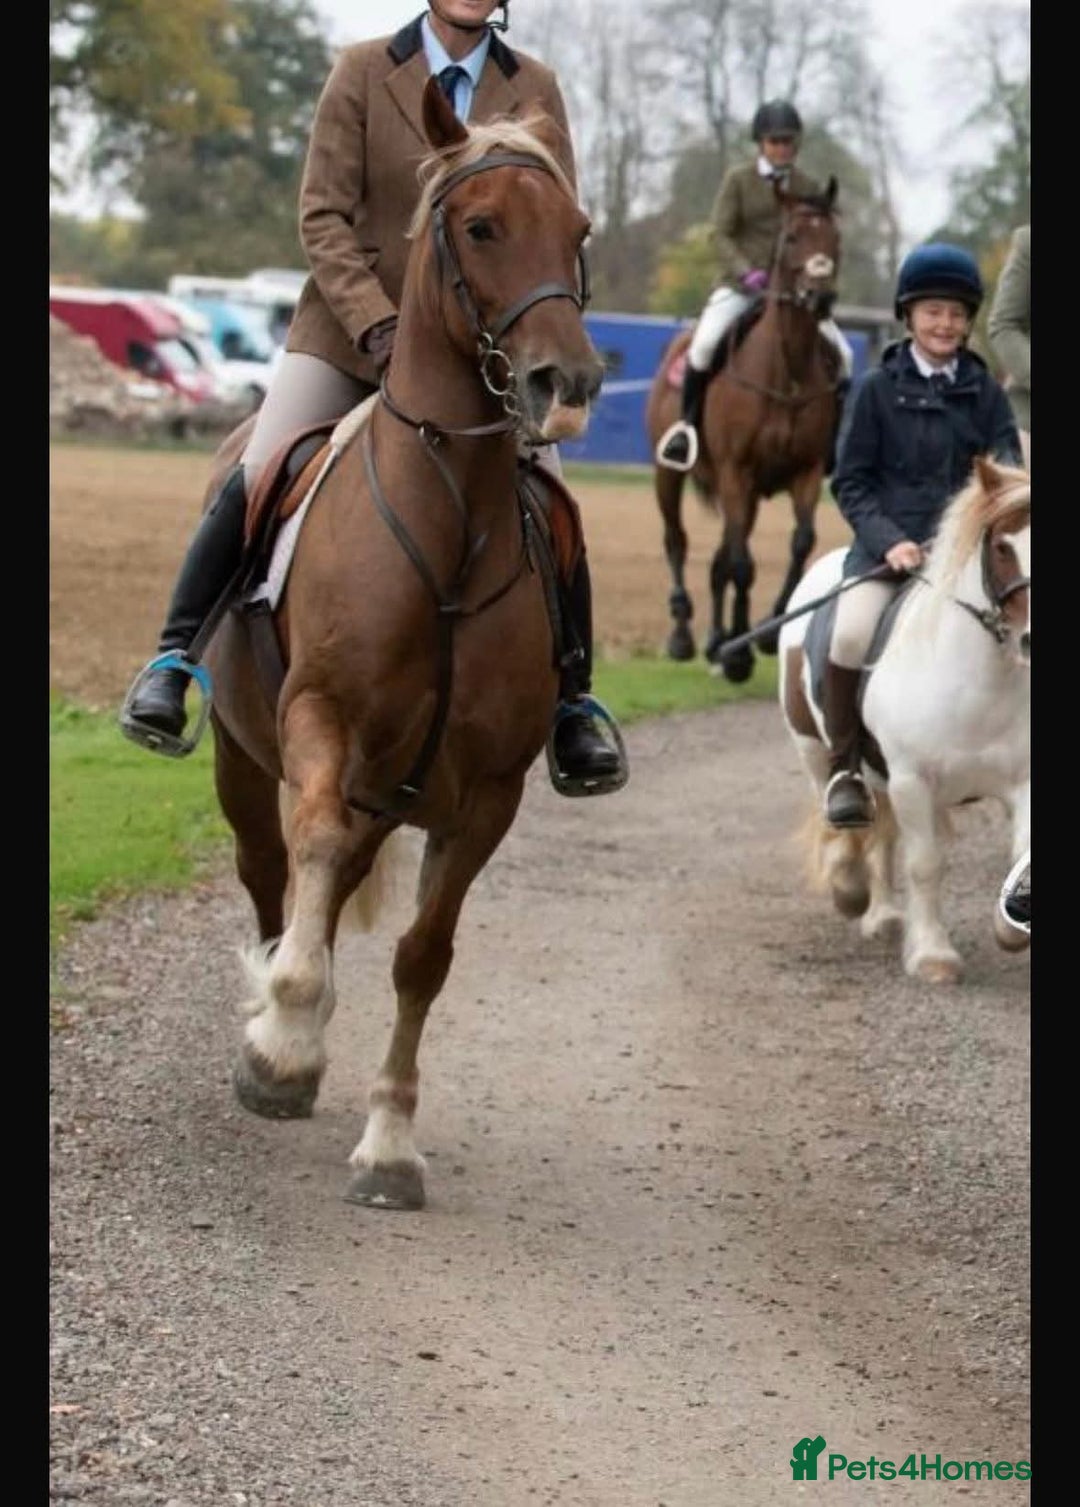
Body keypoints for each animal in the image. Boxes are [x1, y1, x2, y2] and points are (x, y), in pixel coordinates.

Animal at [645, 179, 843, 682]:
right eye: (792, 237)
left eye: (835, 239)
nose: (820, 299)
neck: (786, 370)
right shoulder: (738, 472)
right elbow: (741, 563)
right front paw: (739, 655)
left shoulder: (806, 471)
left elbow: (799, 544)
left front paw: (765, 634)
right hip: (670, 474)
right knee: (678, 541)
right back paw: (685, 636)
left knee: (720, 557)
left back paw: (718, 641)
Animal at [778, 455, 1030, 983]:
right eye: (1002, 546)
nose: (1032, 640)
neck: (978, 683)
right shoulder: (913, 779)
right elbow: (925, 864)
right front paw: (933, 956)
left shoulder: (1023, 778)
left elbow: (1020, 852)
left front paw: (1011, 930)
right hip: (814, 749)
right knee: (845, 817)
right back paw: (853, 892)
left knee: (884, 838)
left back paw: (885, 916)